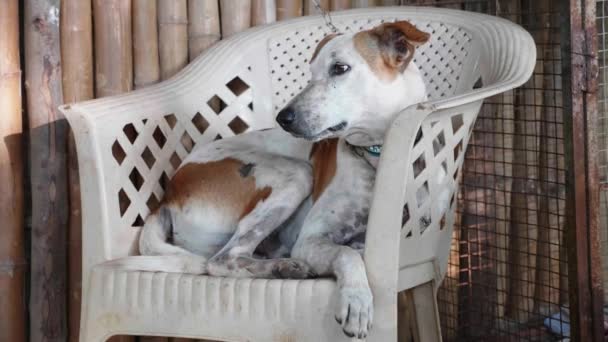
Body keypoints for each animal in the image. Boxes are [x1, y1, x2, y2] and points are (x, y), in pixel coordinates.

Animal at [110, 20, 432, 338]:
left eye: (340, 68)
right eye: (310, 73)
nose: (283, 118)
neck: (375, 156)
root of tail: (168, 195)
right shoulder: (310, 240)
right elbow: (346, 254)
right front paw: (356, 299)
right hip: (296, 175)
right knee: (222, 260)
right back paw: (282, 268)